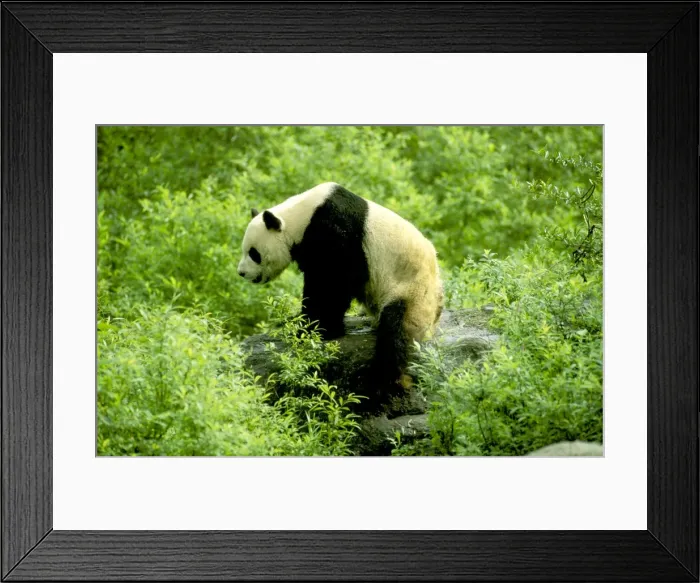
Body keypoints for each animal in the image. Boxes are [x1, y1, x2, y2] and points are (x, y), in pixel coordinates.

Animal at [237, 182, 443, 391]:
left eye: (254, 253)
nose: (241, 273)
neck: (299, 216)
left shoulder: (337, 231)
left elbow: (332, 283)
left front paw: (318, 329)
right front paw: (296, 321)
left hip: (413, 291)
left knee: (396, 331)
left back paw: (382, 378)